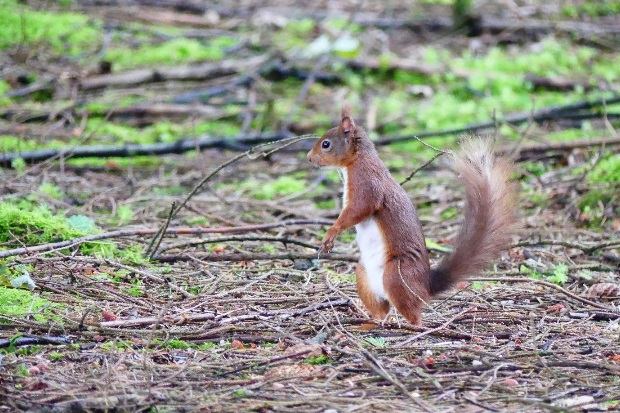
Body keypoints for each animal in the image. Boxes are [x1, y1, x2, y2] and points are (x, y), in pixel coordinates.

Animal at [308, 106, 516, 326]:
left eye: (326, 144)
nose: (309, 158)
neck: (358, 159)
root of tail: (425, 286)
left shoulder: (367, 184)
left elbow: (359, 209)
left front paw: (331, 233)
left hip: (396, 275)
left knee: (414, 313)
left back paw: (413, 326)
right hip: (363, 276)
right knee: (382, 309)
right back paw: (372, 323)